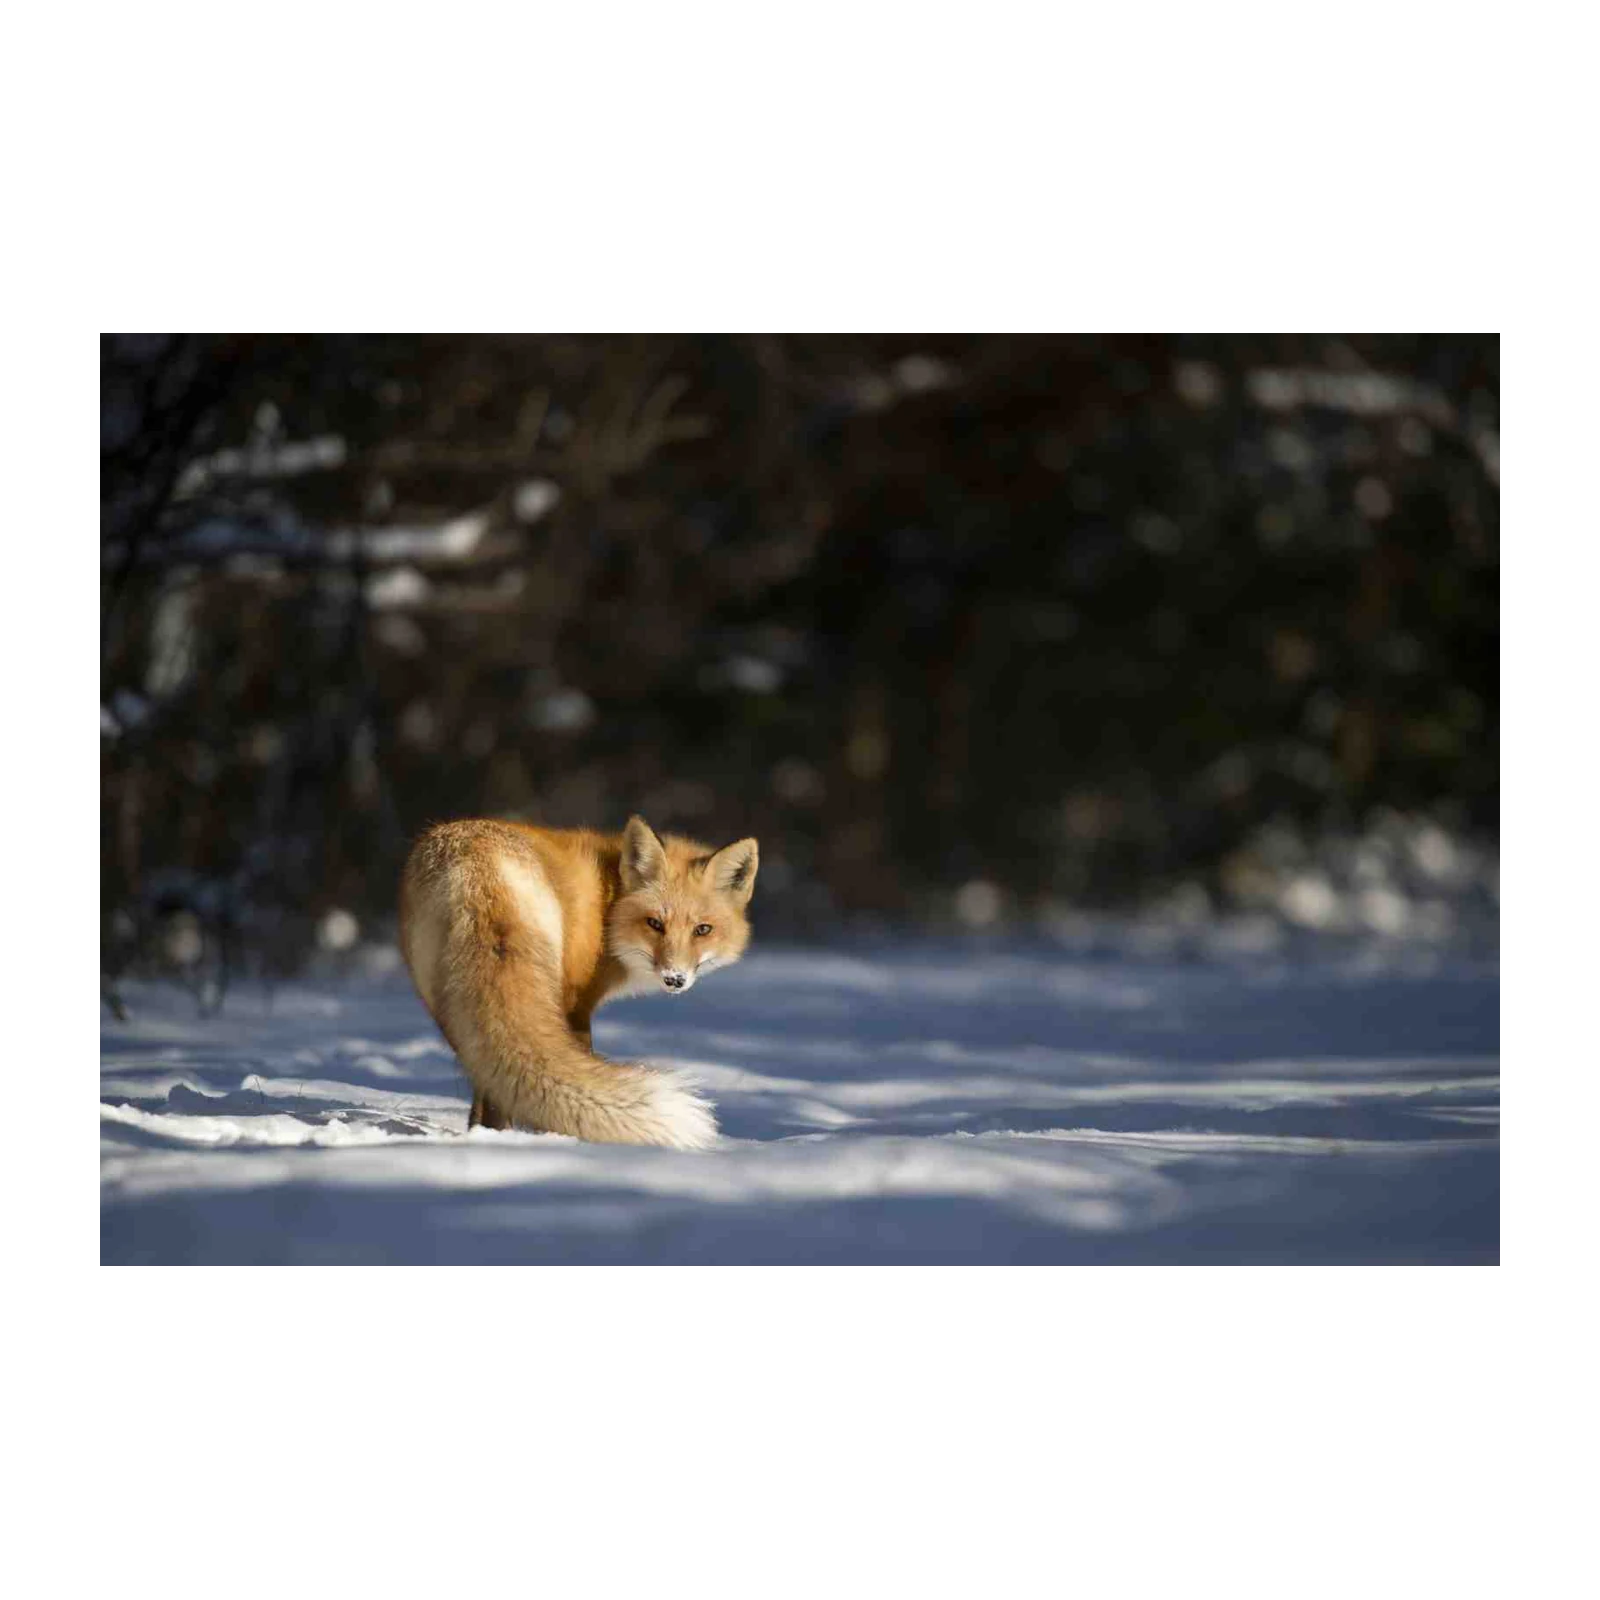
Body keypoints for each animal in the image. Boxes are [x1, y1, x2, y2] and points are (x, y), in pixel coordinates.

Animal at [398, 814, 757, 1149]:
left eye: (703, 930)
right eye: (655, 923)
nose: (675, 979)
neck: (608, 905)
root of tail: (477, 870)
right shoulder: (578, 1002)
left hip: (449, 1008)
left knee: (485, 1076)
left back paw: (485, 1137)